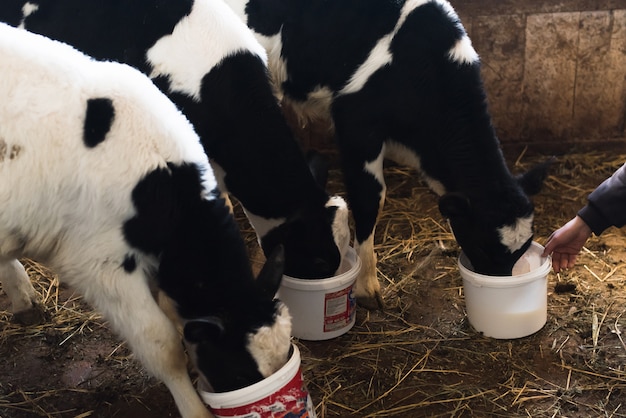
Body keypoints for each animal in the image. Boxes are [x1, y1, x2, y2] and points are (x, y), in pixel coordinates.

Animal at [227, 0, 548, 306]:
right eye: (483, 246)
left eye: (522, 247)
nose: (502, 287)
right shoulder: (355, 123)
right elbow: (370, 199)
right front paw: (366, 286)